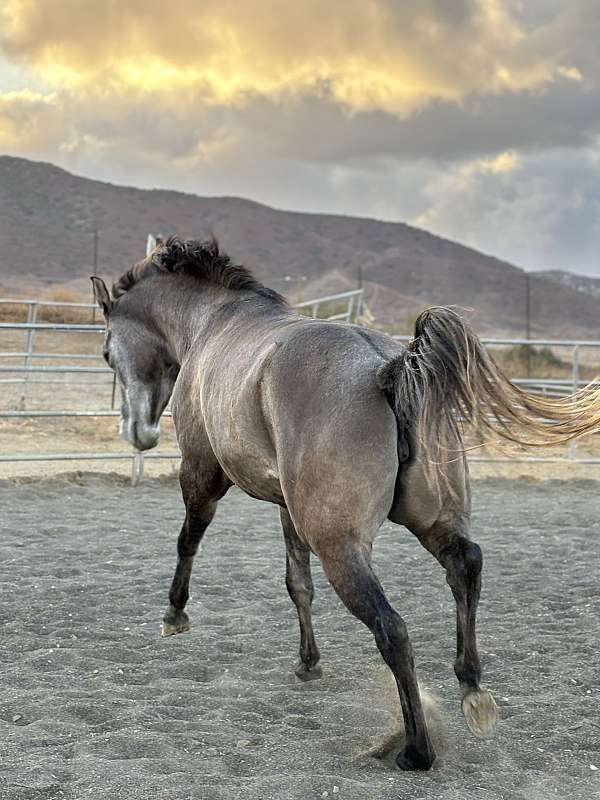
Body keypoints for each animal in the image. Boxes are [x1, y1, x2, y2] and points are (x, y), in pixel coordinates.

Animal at [91, 236, 600, 768]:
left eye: (107, 351)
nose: (137, 431)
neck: (214, 323)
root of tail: (387, 369)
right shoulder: (286, 506)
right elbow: (298, 583)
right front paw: (308, 663)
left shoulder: (201, 473)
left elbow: (188, 539)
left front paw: (174, 615)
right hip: (434, 523)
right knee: (465, 568)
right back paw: (471, 689)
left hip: (341, 547)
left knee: (393, 629)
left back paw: (416, 750)